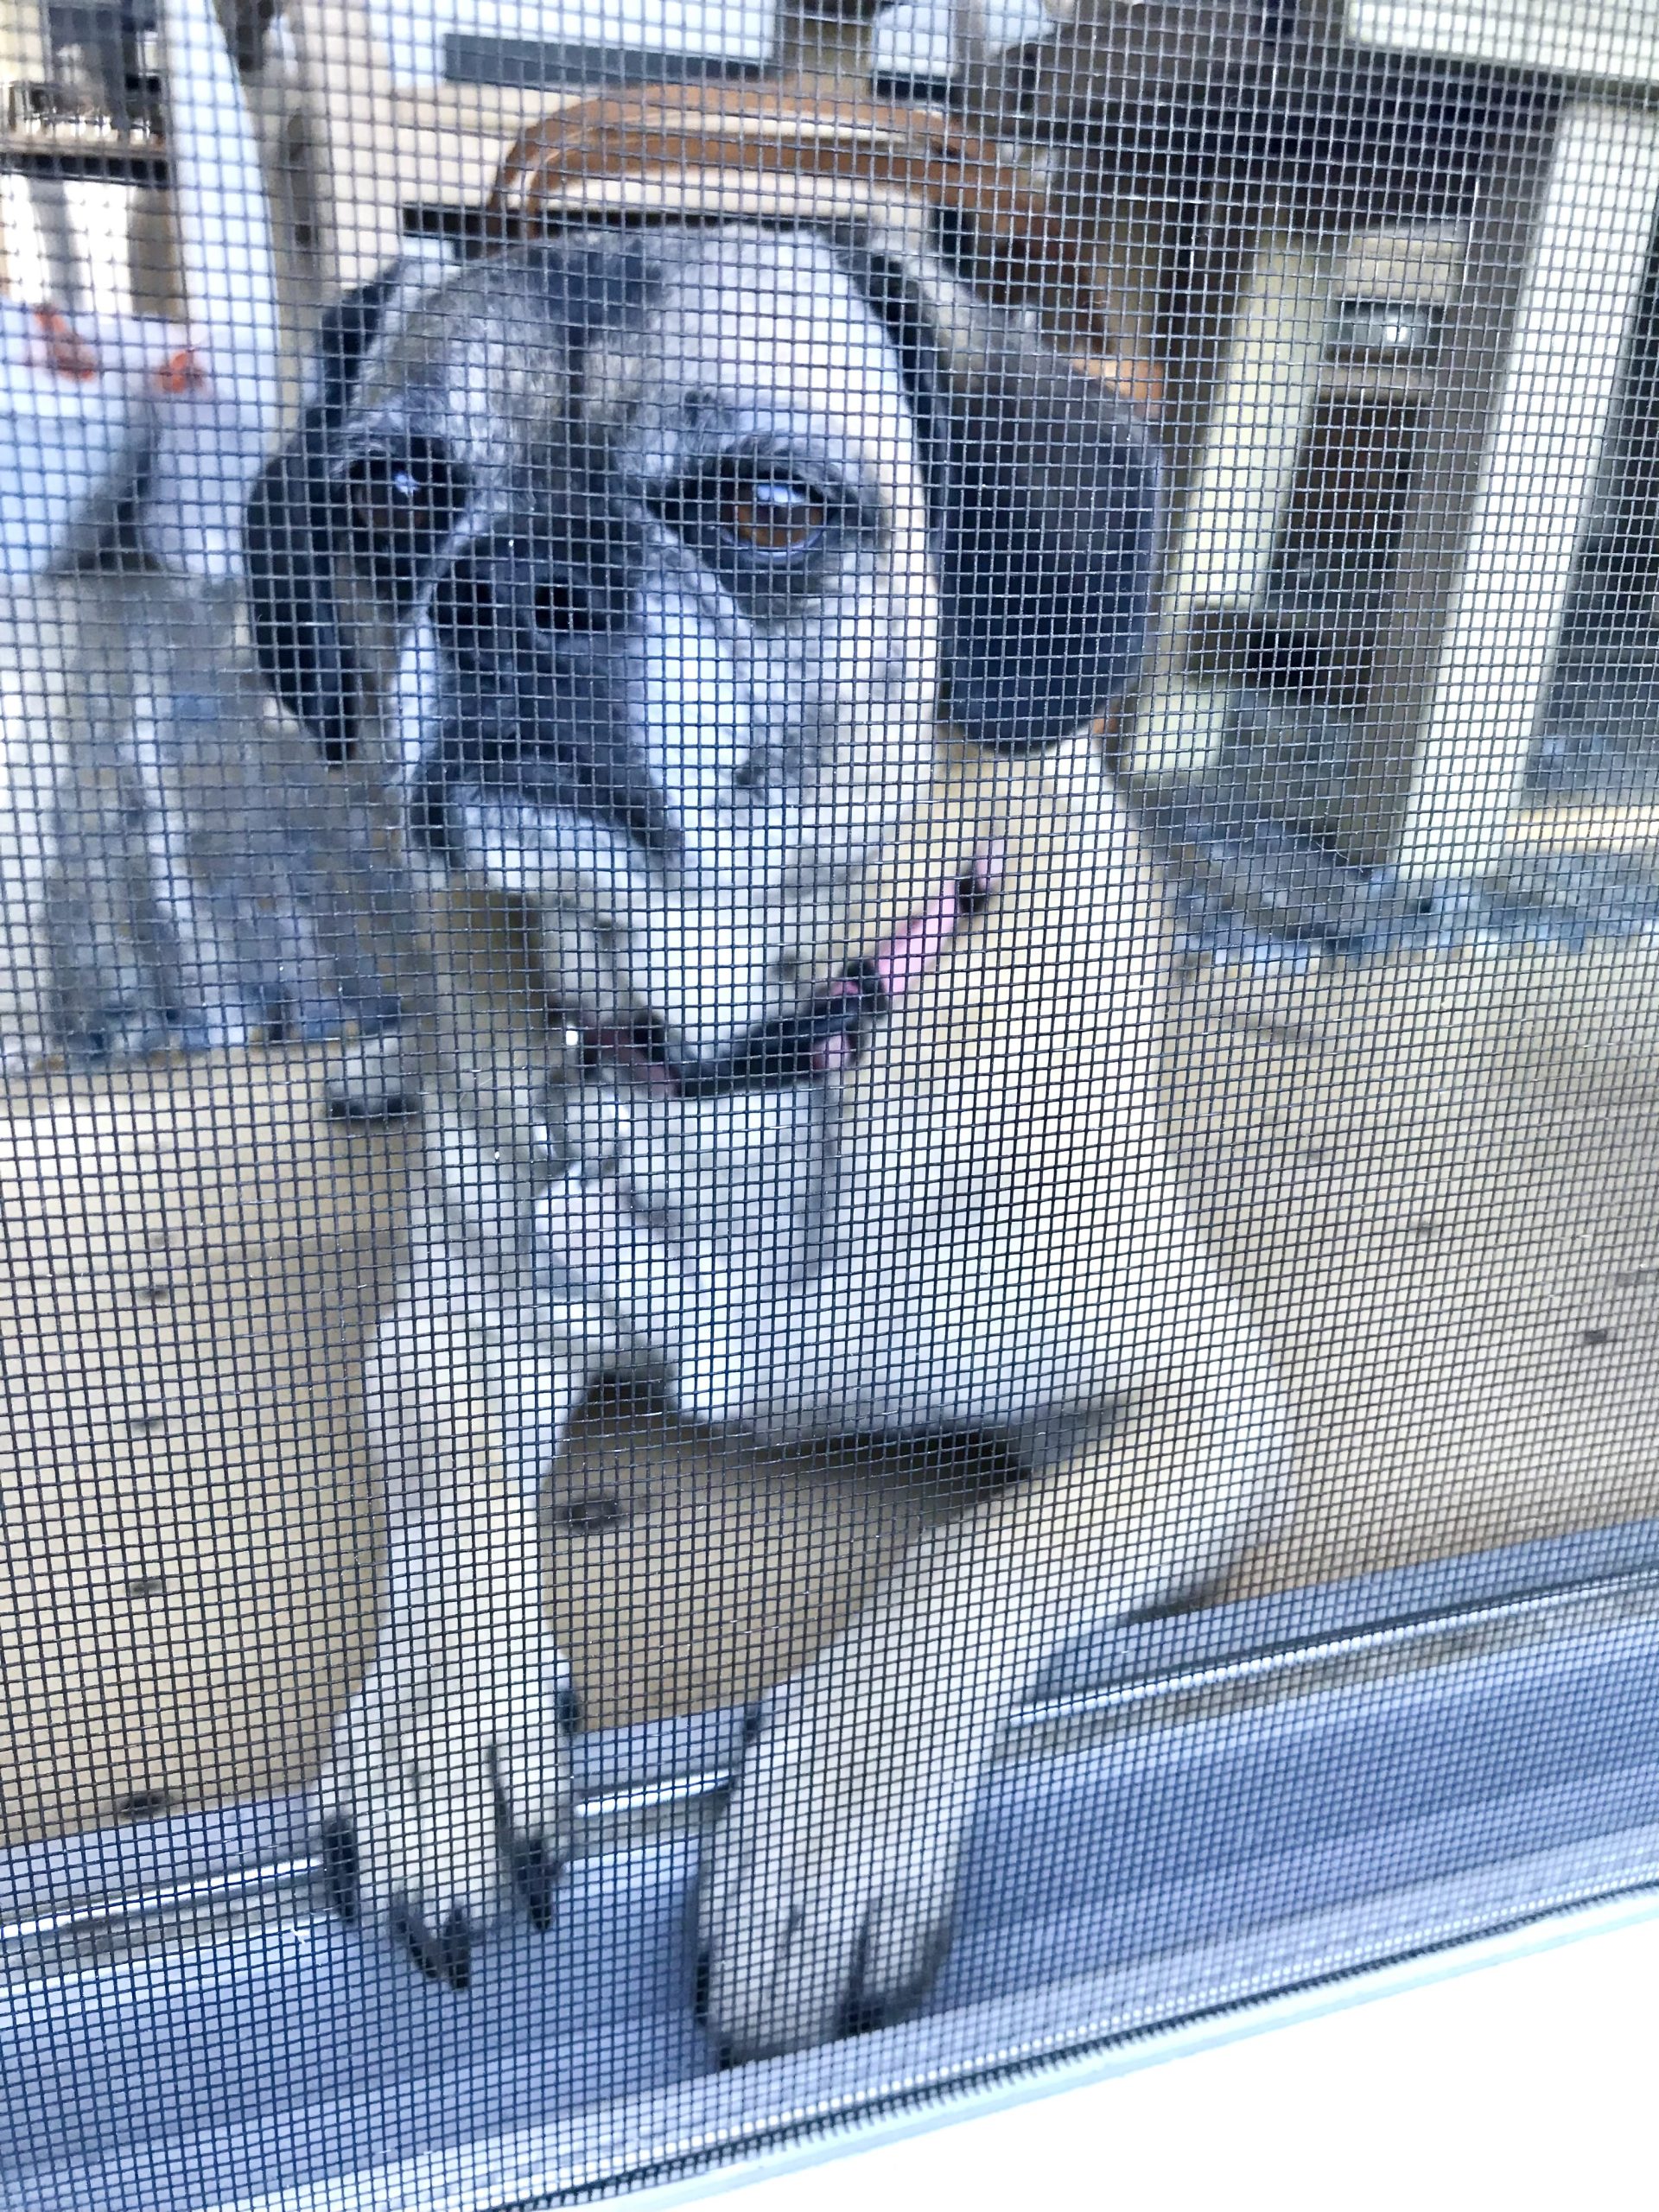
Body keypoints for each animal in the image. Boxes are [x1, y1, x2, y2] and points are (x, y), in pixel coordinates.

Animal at [244, 221, 1290, 2062]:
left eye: (768, 506)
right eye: (394, 492)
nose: (513, 580)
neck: (736, 1049)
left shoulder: (1198, 1415)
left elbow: (969, 1564)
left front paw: (829, 1835)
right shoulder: (452, 1332)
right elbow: (451, 1508)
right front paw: (444, 1733)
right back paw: (382, 1066)